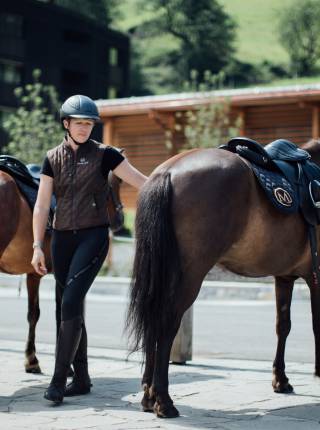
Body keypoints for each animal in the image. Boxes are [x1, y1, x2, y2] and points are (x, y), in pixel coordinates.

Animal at [0, 168, 123, 372]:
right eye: (119, 182)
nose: (120, 220)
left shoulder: (34, 274)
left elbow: (33, 314)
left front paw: (31, 359)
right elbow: (61, 314)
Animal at [127, 139, 320, 418]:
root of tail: (167, 173)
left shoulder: (285, 277)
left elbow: (283, 326)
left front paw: (281, 380)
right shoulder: (315, 276)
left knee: (153, 320)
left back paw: (148, 396)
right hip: (189, 276)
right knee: (166, 323)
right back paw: (163, 400)